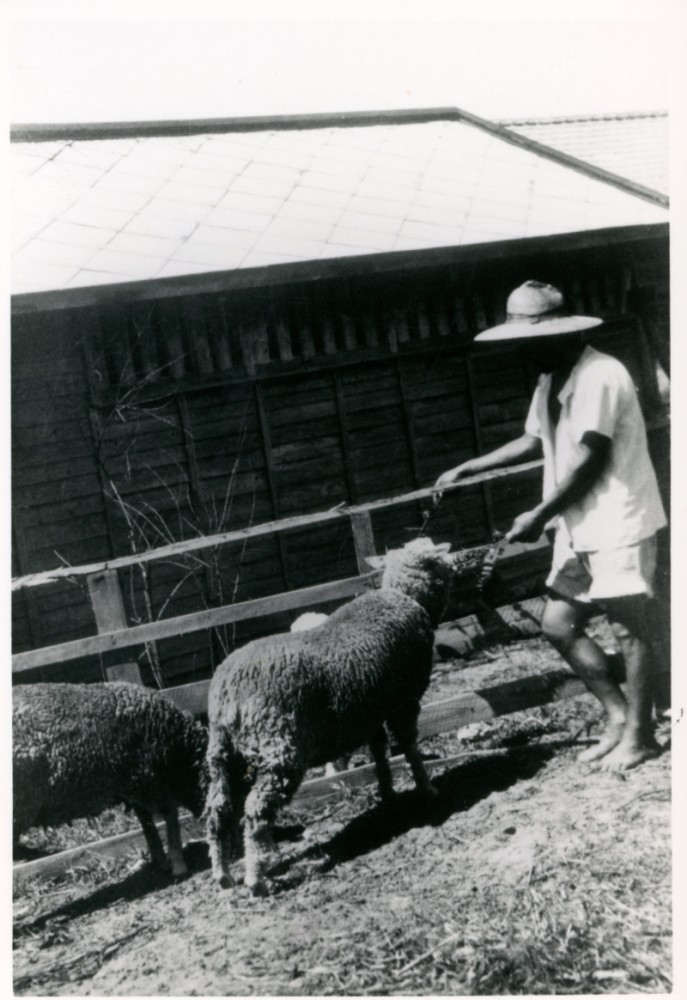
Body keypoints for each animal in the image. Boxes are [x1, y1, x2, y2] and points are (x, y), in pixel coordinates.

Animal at [12, 680, 207, 876]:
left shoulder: (136, 784)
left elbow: (148, 823)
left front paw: (161, 859)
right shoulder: (150, 779)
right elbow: (170, 815)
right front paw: (177, 863)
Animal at [207, 536, 460, 896]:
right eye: (435, 556)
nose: (455, 562)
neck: (406, 598)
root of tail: (227, 692)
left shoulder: (370, 710)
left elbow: (380, 752)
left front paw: (388, 793)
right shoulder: (404, 700)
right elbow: (409, 747)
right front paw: (427, 788)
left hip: (224, 757)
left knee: (219, 812)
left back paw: (223, 874)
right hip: (279, 748)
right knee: (255, 812)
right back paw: (257, 877)